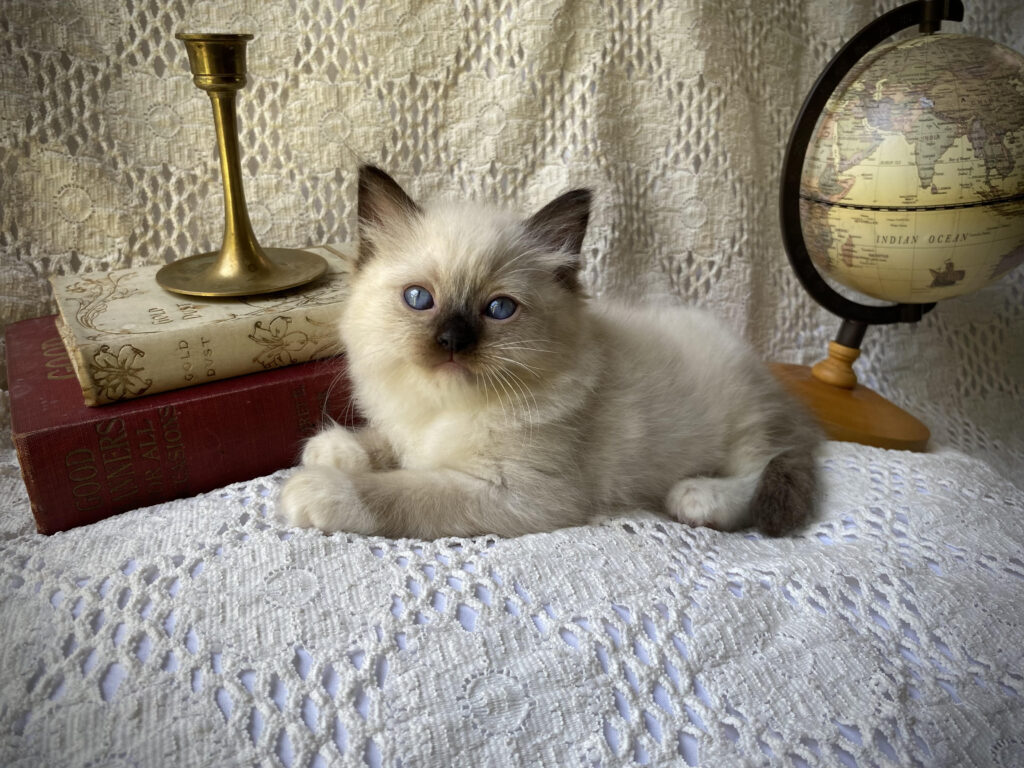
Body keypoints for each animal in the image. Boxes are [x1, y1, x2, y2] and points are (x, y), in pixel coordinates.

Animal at [276, 167, 819, 540]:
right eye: (419, 299)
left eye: (499, 309)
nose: (452, 341)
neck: (445, 409)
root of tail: (772, 378)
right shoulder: (409, 431)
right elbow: (386, 445)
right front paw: (333, 452)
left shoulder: (516, 492)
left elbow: (406, 491)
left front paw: (318, 488)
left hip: (741, 426)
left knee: (759, 467)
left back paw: (697, 497)